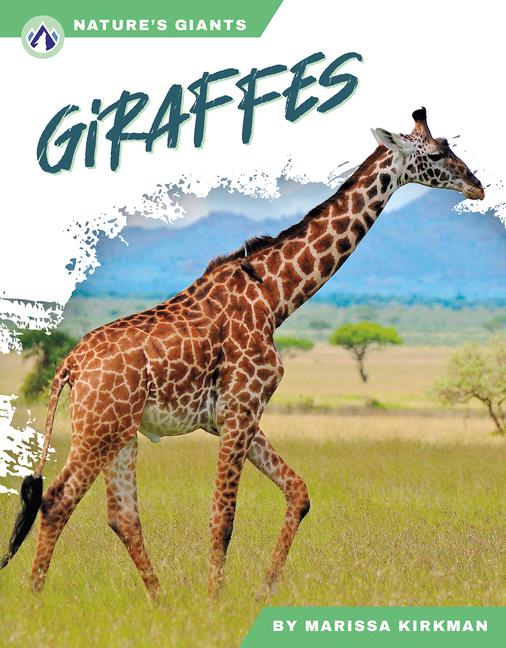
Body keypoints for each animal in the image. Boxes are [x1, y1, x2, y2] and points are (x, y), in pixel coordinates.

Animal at [1, 108, 484, 598]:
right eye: (437, 153)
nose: (476, 184)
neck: (275, 297)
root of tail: (70, 365)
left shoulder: (235, 415)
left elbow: (298, 492)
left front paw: (263, 589)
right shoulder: (240, 408)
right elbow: (223, 517)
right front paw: (215, 602)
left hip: (121, 431)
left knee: (122, 515)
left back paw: (162, 602)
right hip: (99, 427)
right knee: (57, 501)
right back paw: (37, 601)